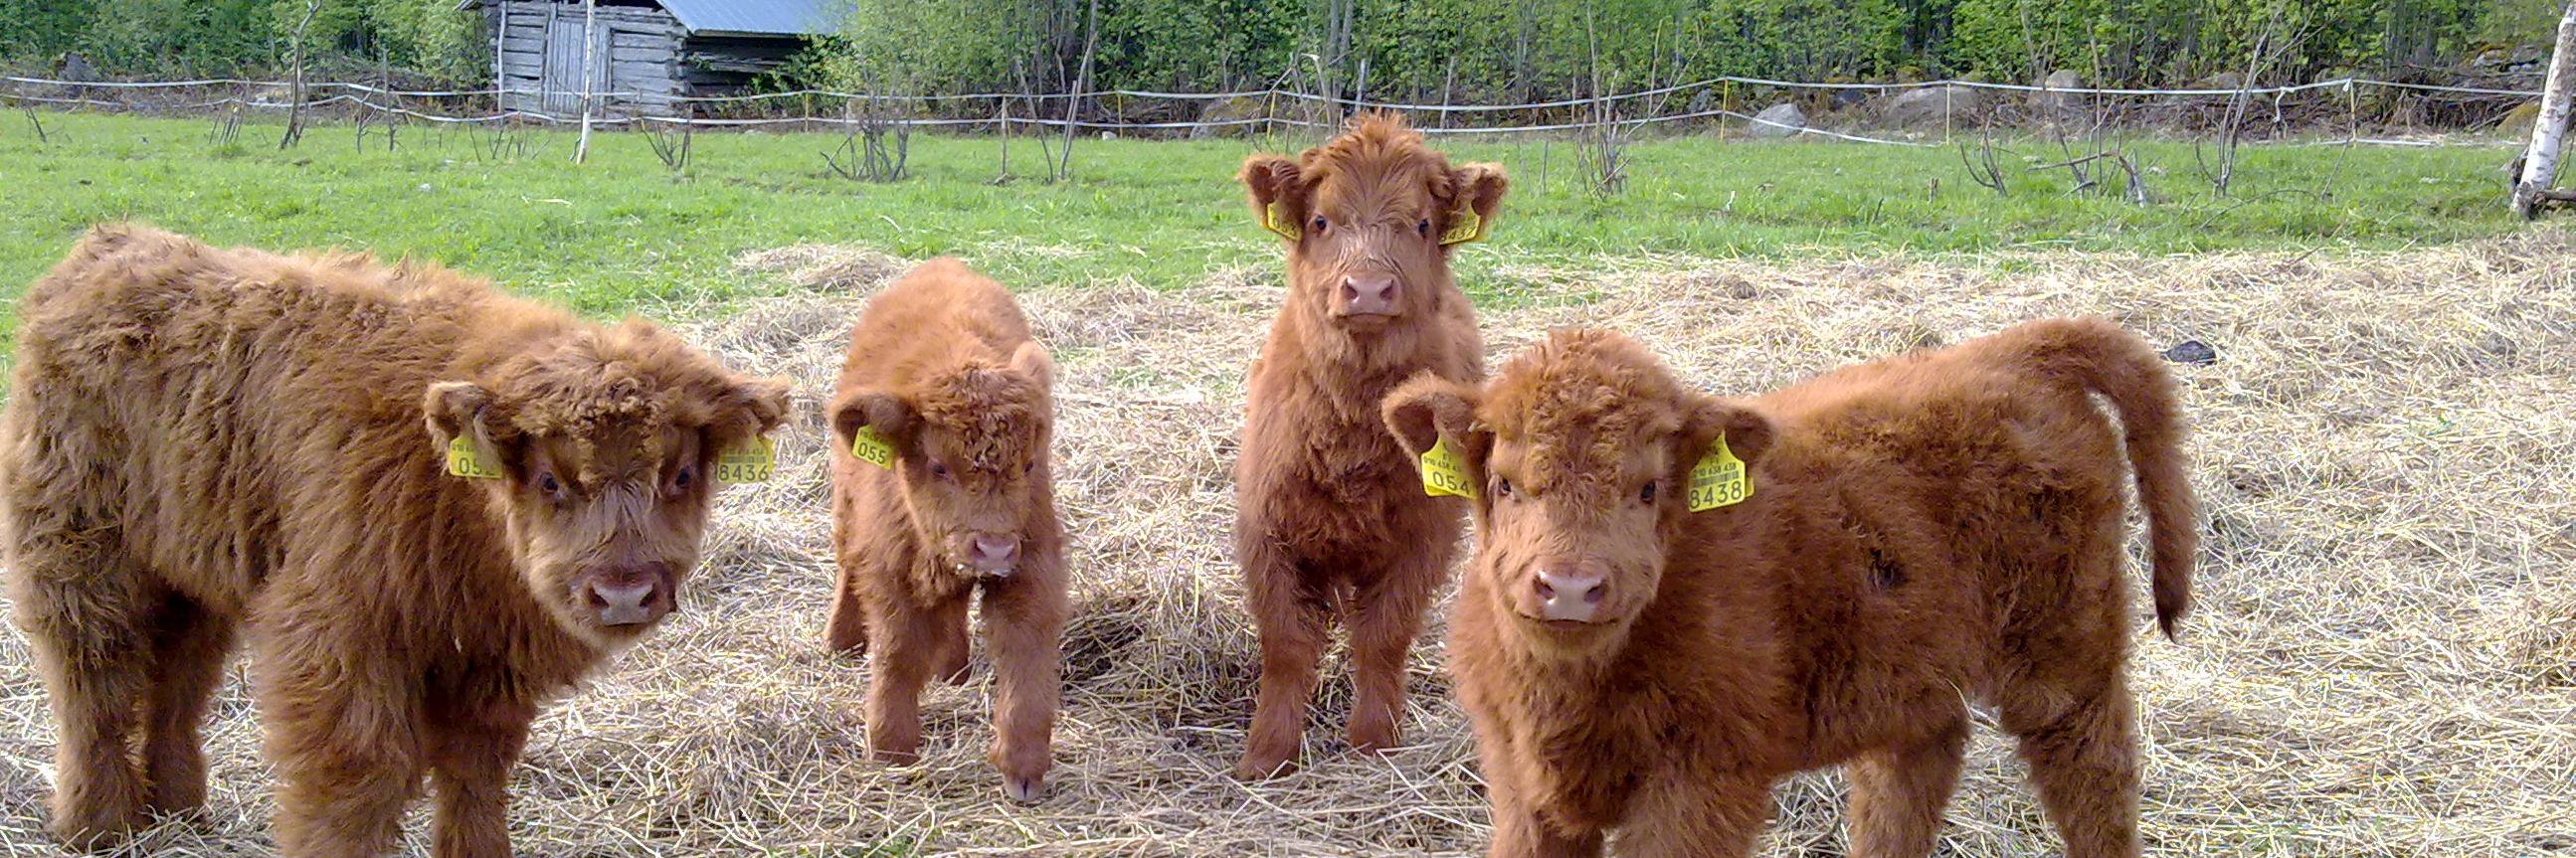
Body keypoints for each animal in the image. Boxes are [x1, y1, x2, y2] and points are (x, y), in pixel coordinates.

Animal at [1, 224, 790, 857]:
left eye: (680, 473)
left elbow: (476, 773)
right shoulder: (338, 638)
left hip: (192, 570)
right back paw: (98, 827)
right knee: (94, 684)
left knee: (177, 686)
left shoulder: (489, 663)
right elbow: (355, 785)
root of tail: (107, 247)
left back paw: (179, 812)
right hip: (76, 550)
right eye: (551, 480)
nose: (622, 591)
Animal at [823, 258, 1067, 803]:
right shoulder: (891, 569)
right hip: (846, 509)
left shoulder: (1031, 564)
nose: (992, 548)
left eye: (1028, 464)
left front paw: (1022, 769)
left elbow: (1024, 653)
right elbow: (897, 653)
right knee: (846, 563)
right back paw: (841, 642)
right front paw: (890, 751)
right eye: (937, 466)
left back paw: (953, 669)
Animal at [1231, 112, 1507, 779]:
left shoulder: (1424, 540)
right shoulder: (1265, 534)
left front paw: (1374, 740)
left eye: (1423, 224)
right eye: (1321, 221)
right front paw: (1268, 753)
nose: (1369, 288)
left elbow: (1382, 638)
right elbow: (1286, 645)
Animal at [1382, 319, 2197, 857]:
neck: (1570, 692)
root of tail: (2014, 351)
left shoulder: (1703, 784)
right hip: (1912, 667)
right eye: (1505, 484)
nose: (1572, 588)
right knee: (1910, 775)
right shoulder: (1521, 785)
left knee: (2095, 778)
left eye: (1648, 488)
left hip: (2066, 654)